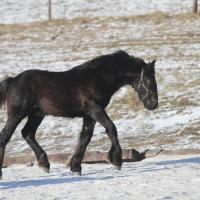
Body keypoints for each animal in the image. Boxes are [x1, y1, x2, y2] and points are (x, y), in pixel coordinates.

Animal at [0, 50, 158, 178]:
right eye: (148, 81)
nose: (153, 104)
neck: (98, 78)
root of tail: (12, 80)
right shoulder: (94, 109)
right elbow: (111, 128)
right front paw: (116, 160)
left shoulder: (89, 115)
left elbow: (85, 138)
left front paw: (76, 167)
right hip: (17, 115)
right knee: (5, 136)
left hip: (37, 114)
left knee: (27, 133)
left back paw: (45, 164)